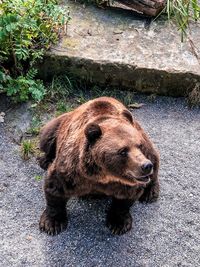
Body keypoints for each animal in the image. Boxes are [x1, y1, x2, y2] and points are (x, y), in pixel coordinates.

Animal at [38, 97, 159, 236]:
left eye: (139, 145)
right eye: (123, 151)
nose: (145, 166)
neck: (103, 175)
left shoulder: (124, 182)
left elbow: (126, 198)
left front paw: (118, 223)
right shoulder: (71, 170)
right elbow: (55, 187)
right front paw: (52, 223)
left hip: (143, 135)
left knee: (154, 157)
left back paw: (150, 193)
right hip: (59, 123)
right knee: (46, 137)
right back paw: (45, 160)